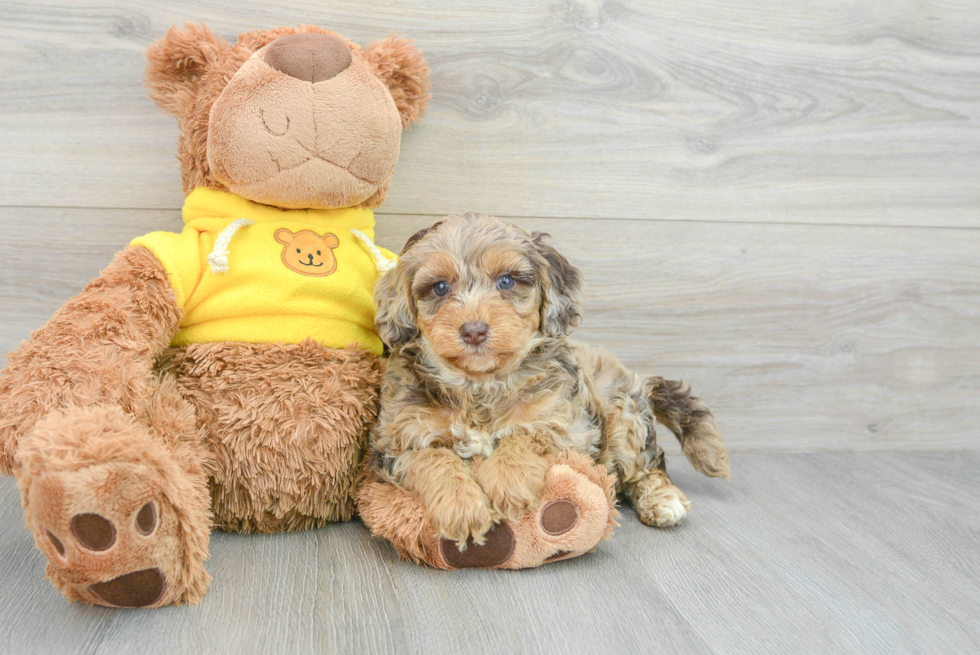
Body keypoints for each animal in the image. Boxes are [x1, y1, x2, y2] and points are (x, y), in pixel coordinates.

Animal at [366, 215, 728, 548]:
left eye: (507, 281)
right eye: (440, 287)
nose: (474, 330)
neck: (480, 384)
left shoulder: (570, 427)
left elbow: (530, 434)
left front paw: (508, 481)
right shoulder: (395, 440)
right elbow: (430, 458)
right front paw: (462, 507)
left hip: (626, 421)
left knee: (649, 465)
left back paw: (663, 501)